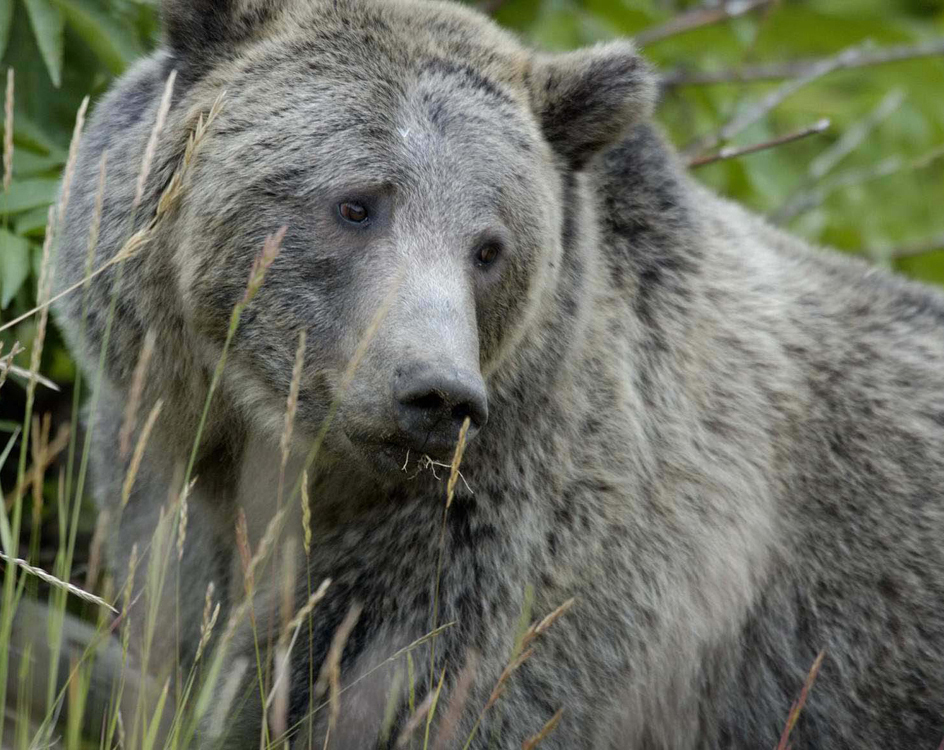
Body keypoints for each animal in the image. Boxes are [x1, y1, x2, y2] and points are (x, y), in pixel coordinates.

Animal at [49, 1, 944, 750]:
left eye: (489, 246)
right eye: (356, 204)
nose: (435, 392)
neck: (294, 464)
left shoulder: (518, 559)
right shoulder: (162, 471)